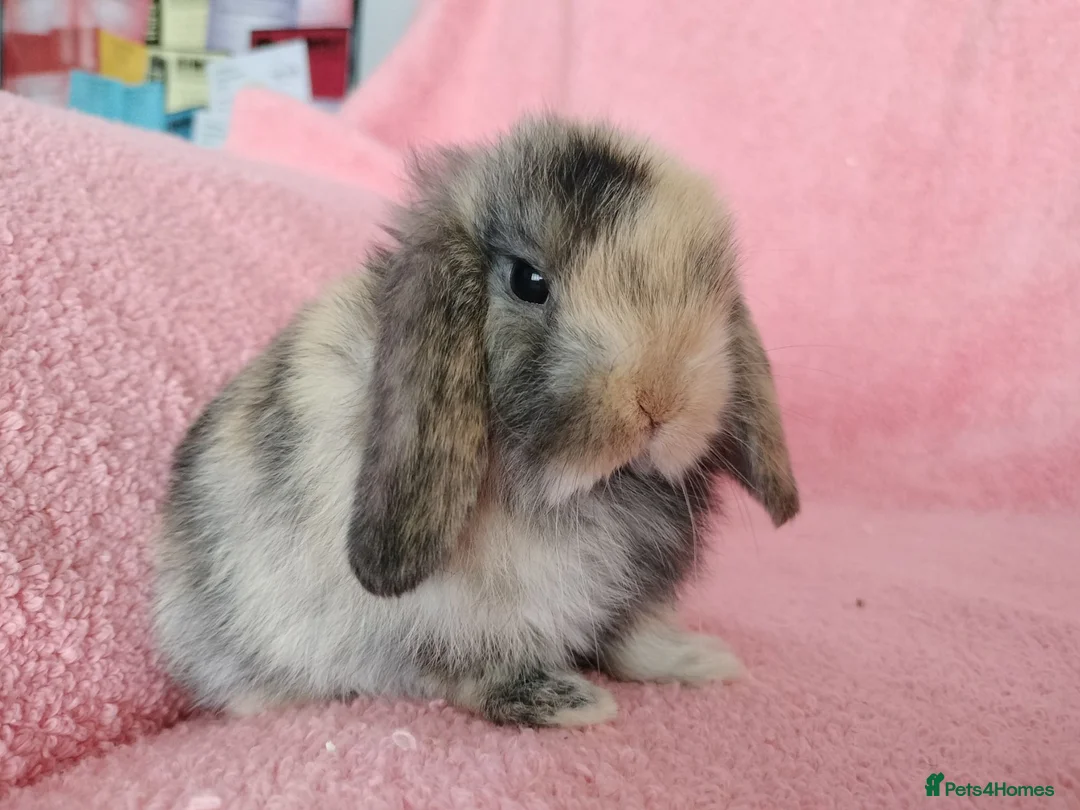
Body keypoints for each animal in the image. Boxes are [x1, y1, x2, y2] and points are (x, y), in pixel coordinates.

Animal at [150, 115, 800, 728]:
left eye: (710, 283)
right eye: (528, 282)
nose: (659, 401)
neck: (584, 490)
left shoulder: (629, 596)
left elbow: (633, 640)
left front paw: (700, 661)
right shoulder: (458, 620)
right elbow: (477, 669)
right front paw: (570, 703)